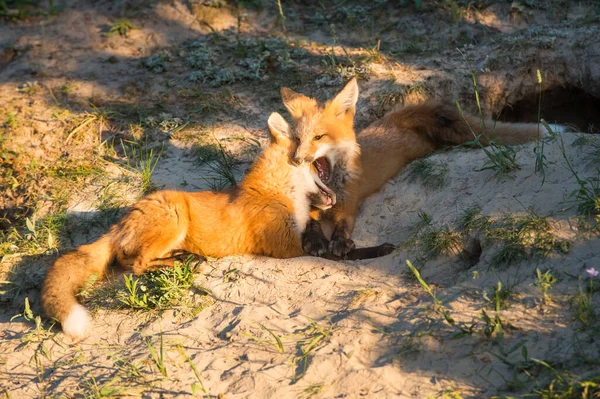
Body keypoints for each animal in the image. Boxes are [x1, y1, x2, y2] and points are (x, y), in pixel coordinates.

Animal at [41, 113, 338, 340]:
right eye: (316, 163)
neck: (276, 191)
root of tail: (121, 222)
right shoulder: (286, 247)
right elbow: (326, 256)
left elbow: (314, 228)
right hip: (175, 219)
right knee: (135, 264)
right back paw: (182, 262)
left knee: (129, 259)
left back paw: (185, 259)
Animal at [278, 78, 560, 258]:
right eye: (298, 139)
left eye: (318, 138)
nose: (296, 159)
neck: (333, 185)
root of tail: (397, 118)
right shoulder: (313, 204)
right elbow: (310, 222)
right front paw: (315, 240)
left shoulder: (350, 202)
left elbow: (343, 225)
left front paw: (338, 242)